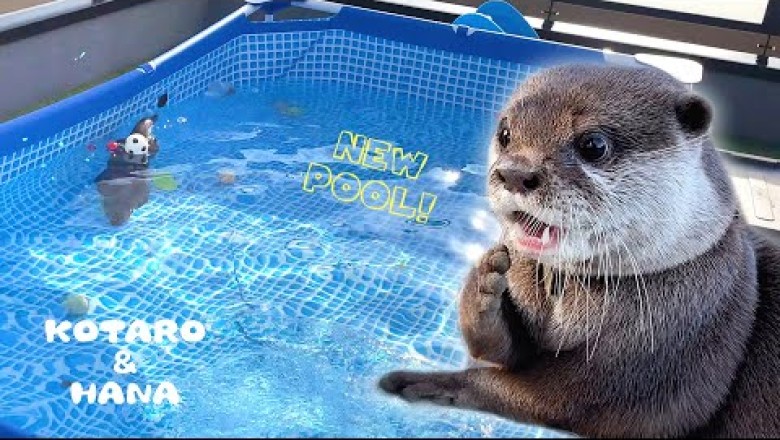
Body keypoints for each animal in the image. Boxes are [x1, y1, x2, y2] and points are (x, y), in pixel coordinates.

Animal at [379, 64, 780, 438]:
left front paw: (423, 382)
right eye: (505, 133)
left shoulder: (664, 356)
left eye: (593, 145)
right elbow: (509, 351)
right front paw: (482, 285)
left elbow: (550, 396)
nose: (514, 173)